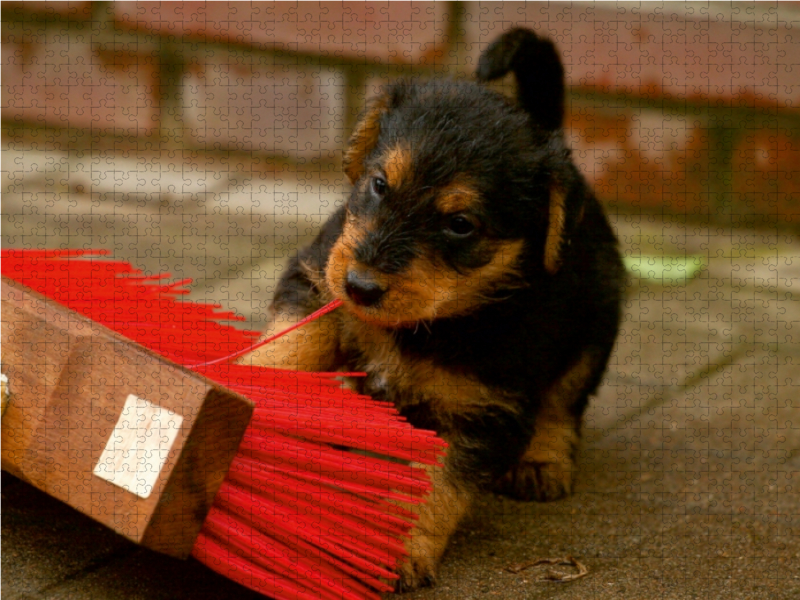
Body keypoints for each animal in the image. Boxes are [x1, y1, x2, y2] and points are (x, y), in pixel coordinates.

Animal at [244, 28, 624, 592]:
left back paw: (542, 462)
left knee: (564, 403)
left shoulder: (485, 411)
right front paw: (242, 387)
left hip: (594, 332)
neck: (429, 323)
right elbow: (293, 343)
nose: (362, 287)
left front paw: (398, 551)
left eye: (460, 225)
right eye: (380, 184)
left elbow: (433, 484)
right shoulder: (316, 275)